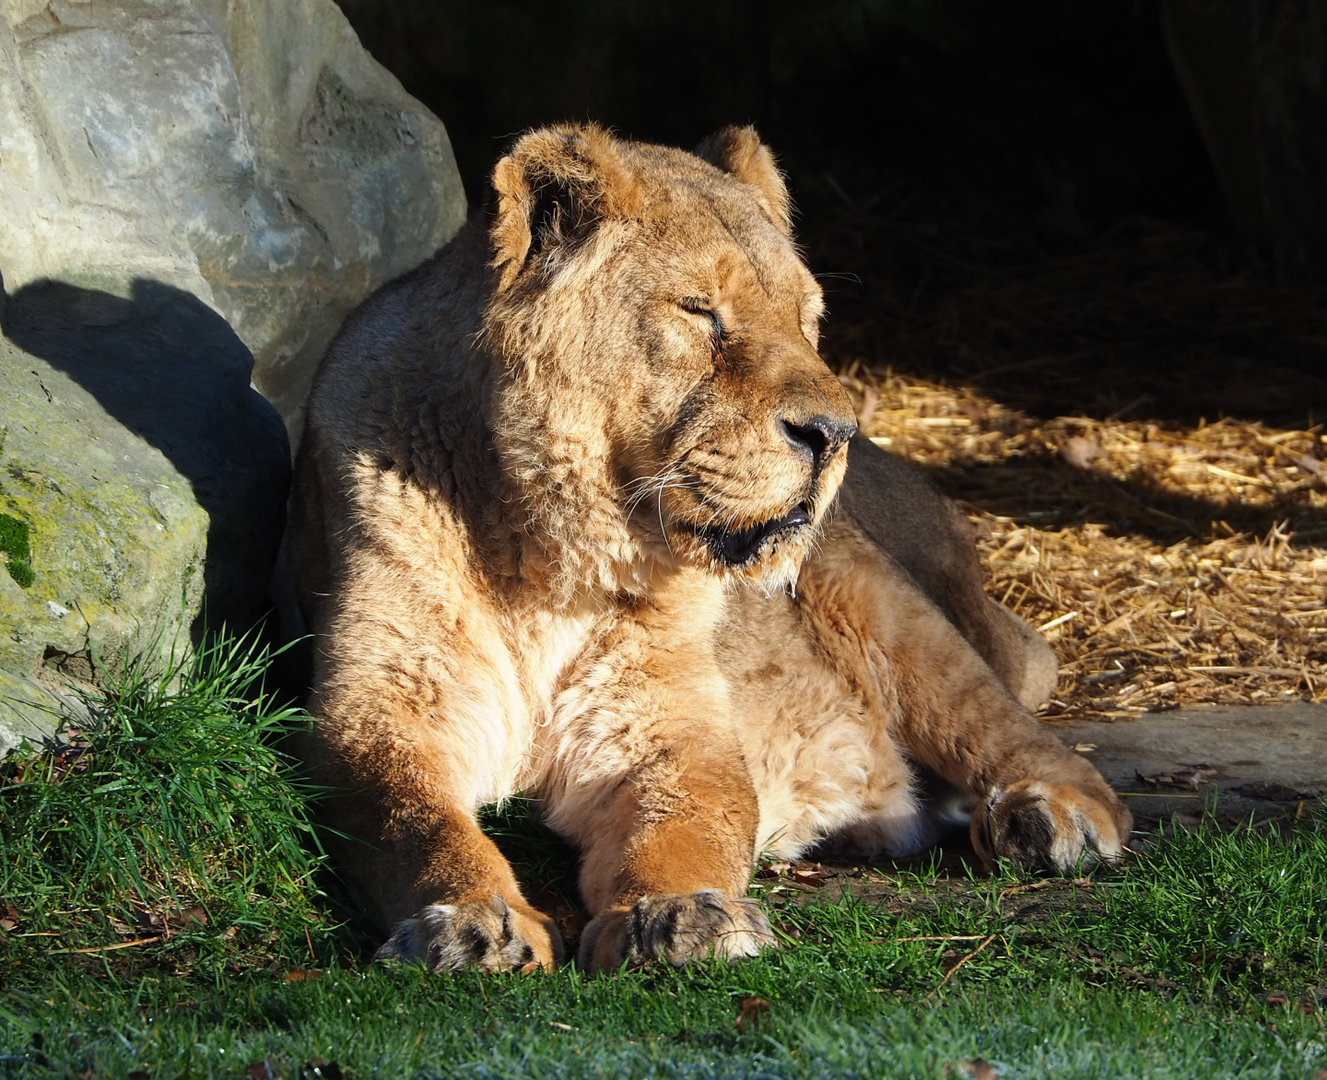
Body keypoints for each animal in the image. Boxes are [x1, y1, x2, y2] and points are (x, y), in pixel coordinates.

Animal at [288, 123, 1132, 973]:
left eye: (806, 320)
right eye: (701, 313)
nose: (833, 434)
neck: (544, 559)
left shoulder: (668, 726)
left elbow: (688, 822)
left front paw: (680, 914)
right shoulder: (381, 708)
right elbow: (414, 823)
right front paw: (466, 921)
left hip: (882, 602)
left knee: (1020, 733)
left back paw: (1051, 816)